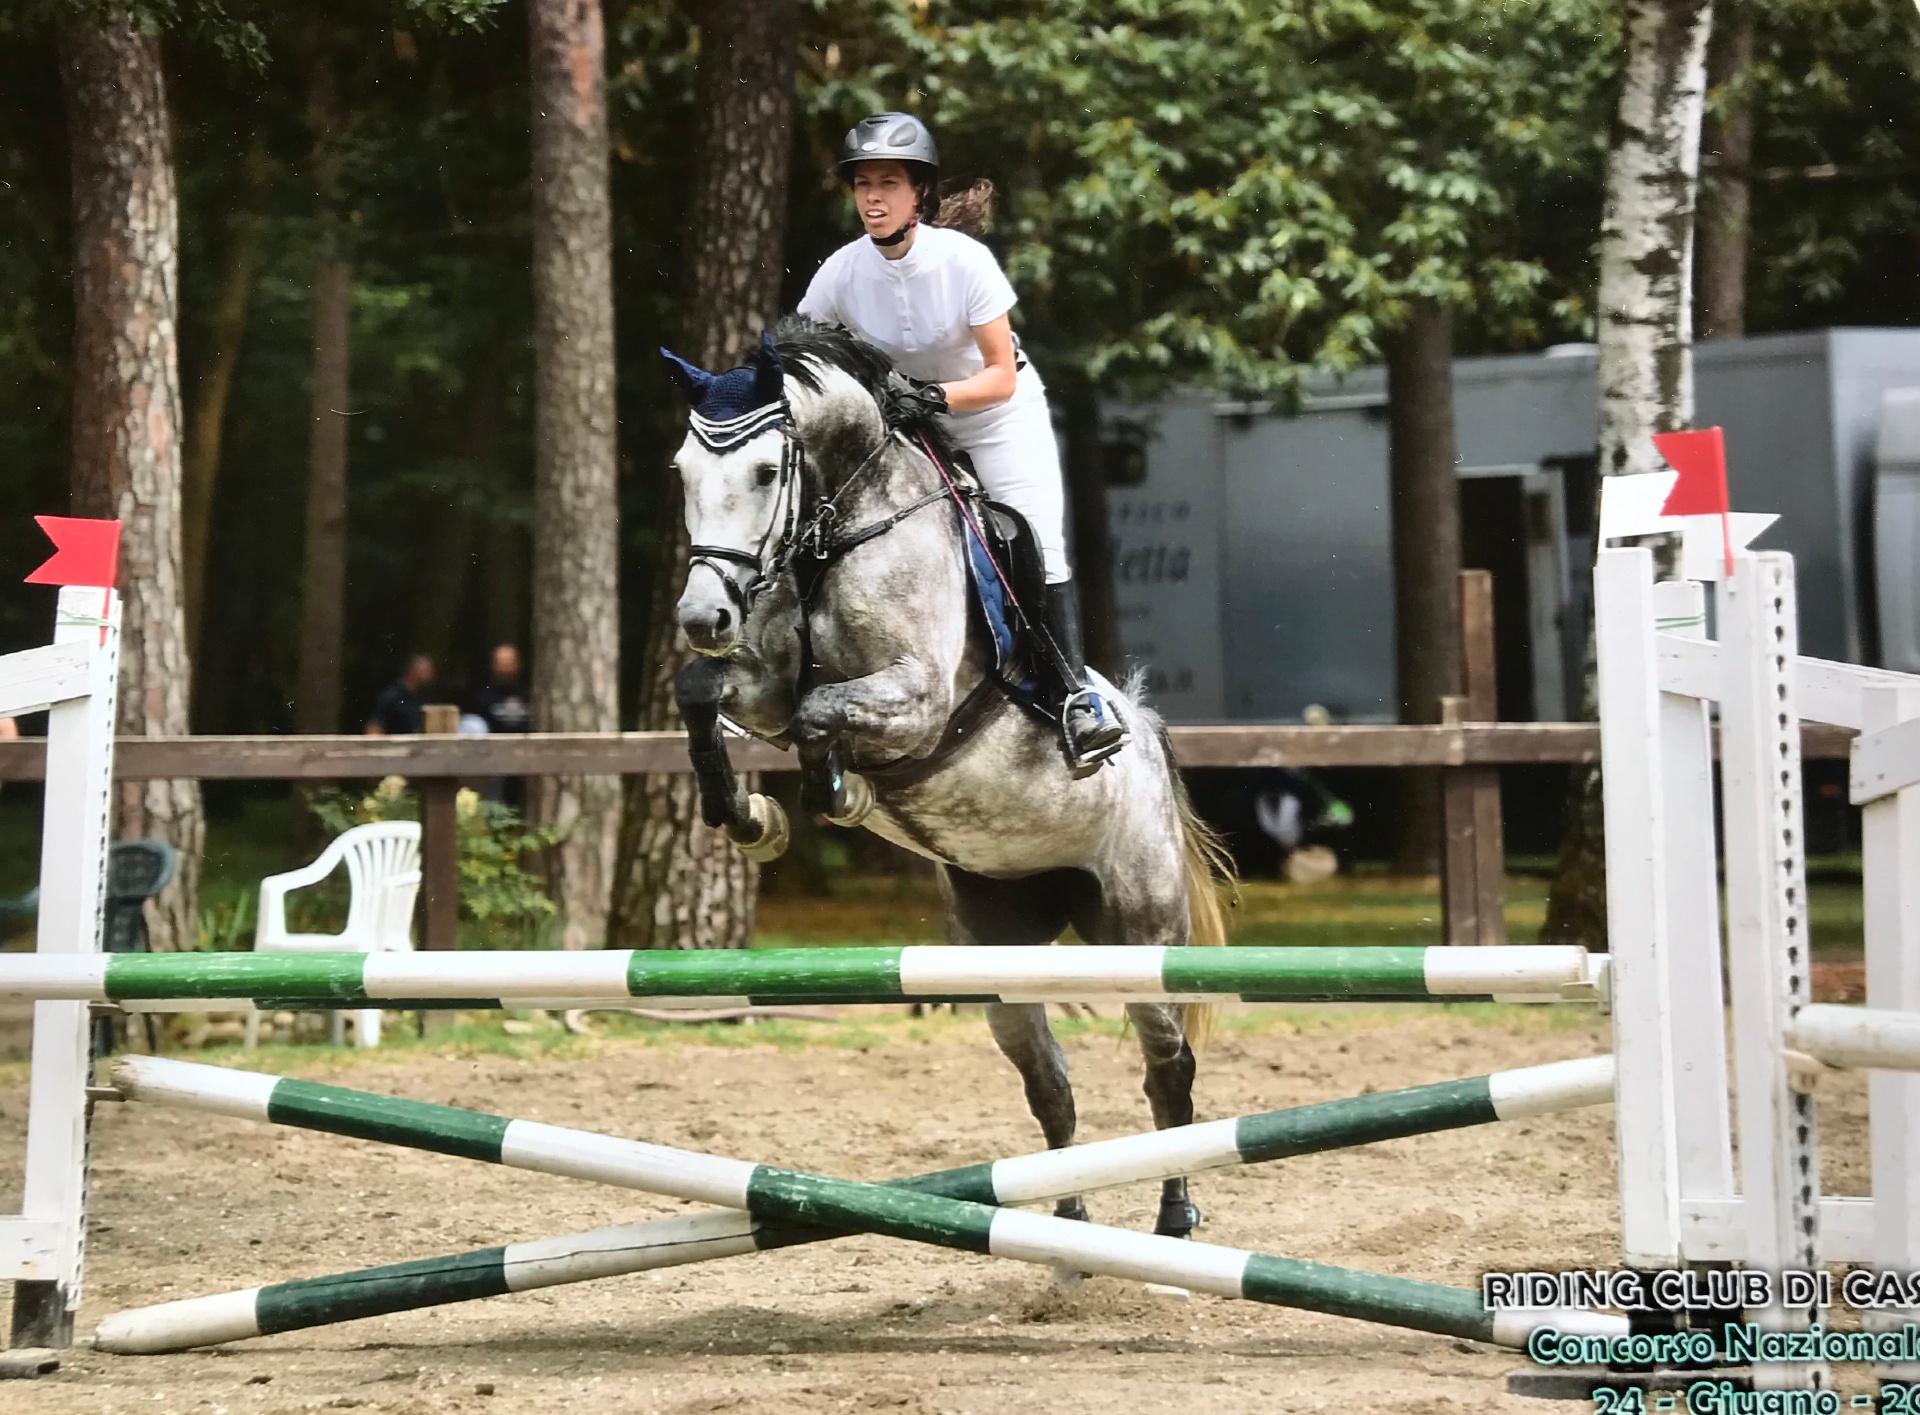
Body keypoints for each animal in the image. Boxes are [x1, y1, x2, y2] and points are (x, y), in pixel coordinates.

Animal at [661, 315, 1232, 1240]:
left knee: (1167, 1069)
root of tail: (1146, 734)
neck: (837, 531)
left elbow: (822, 715)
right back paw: (1064, 1220)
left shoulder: (918, 698)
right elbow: (706, 693)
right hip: (1003, 950)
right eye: (682, 471)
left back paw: (1175, 1216)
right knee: (1052, 1086)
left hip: (1138, 930)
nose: (703, 615)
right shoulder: (763, 687)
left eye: (765, 471)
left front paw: (836, 794)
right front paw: (751, 819)